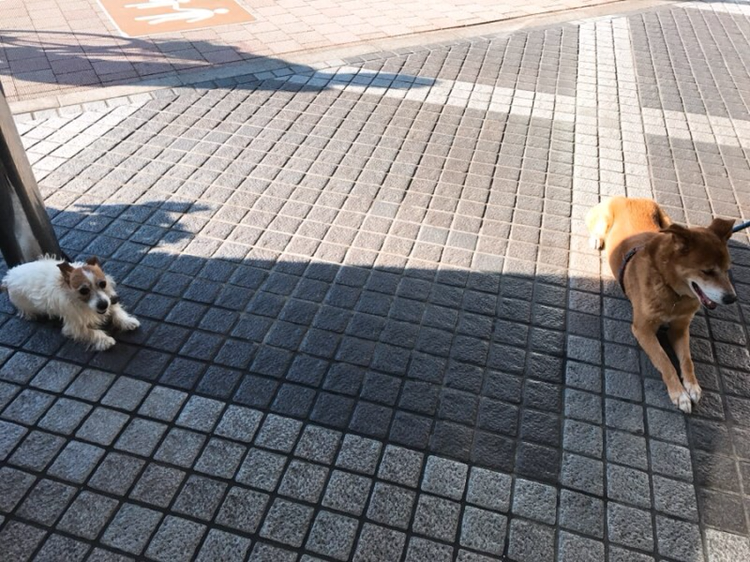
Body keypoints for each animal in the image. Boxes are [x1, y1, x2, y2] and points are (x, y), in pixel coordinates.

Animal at [1, 256, 139, 351]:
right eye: (84, 290)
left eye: (103, 284)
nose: (103, 305)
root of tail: (8, 277)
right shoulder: (74, 327)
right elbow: (93, 332)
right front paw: (105, 340)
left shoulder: (110, 300)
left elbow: (117, 311)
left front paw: (127, 321)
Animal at [586, 196, 737, 413]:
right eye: (707, 271)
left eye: (726, 270)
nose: (732, 298)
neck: (673, 293)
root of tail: (627, 197)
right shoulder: (642, 330)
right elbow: (664, 360)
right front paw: (679, 393)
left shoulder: (680, 328)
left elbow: (687, 360)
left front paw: (692, 385)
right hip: (605, 217)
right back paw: (597, 239)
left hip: (666, 221)